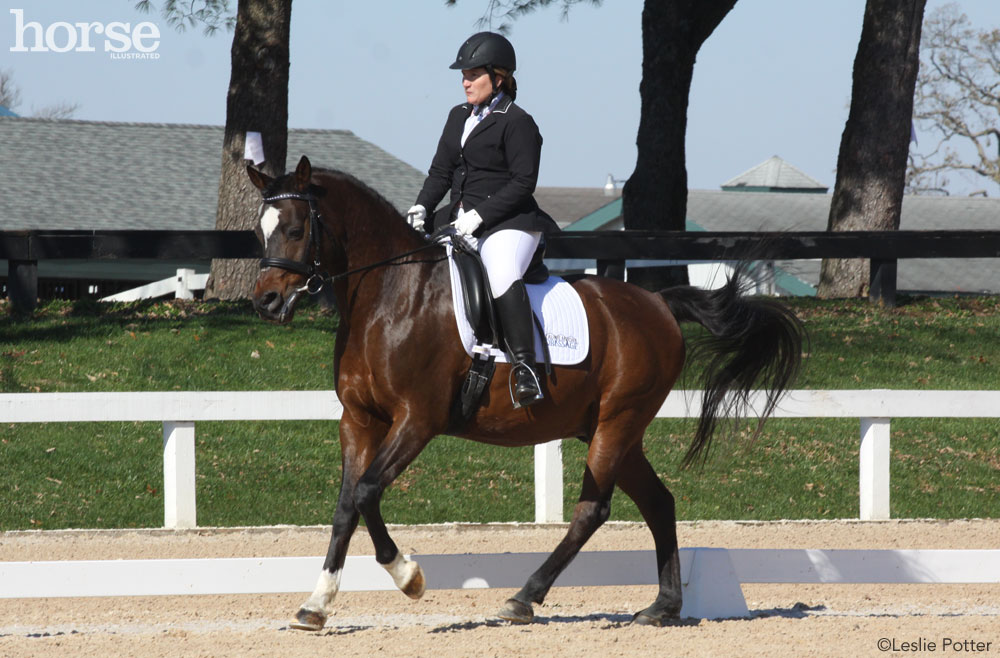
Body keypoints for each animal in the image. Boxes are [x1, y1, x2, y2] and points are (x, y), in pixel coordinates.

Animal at [250, 156, 804, 628]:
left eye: (296, 229)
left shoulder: (417, 420)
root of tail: (659, 303)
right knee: (658, 503)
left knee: (592, 511)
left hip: (618, 422)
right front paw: (315, 605)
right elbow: (346, 506)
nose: (266, 303)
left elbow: (367, 491)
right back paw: (661, 607)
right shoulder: (360, 420)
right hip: (610, 430)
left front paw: (409, 577)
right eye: (260, 231)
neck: (390, 296)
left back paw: (523, 598)